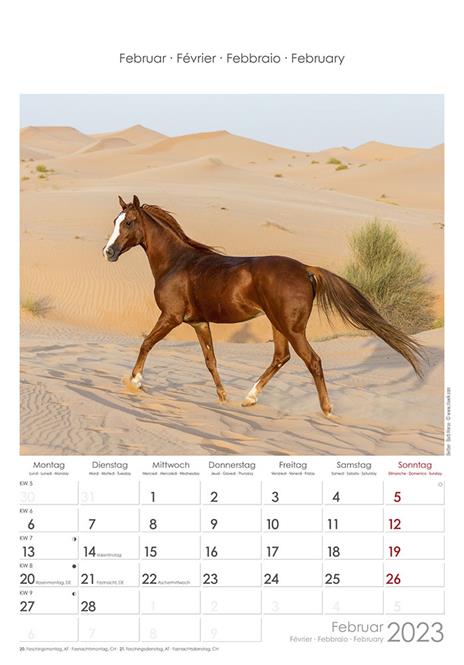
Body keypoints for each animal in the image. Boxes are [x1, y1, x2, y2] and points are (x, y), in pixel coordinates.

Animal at [103, 195, 423, 416]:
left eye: (128, 222)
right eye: (116, 221)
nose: (108, 252)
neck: (176, 262)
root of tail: (306, 269)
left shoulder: (170, 316)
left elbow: (146, 343)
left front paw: (135, 382)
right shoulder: (199, 322)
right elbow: (210, 361)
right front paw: (223, 398)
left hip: (292, 328)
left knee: (313, 361)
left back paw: (327, 411)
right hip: (278, 324)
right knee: (281, 357)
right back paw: (249, 398)